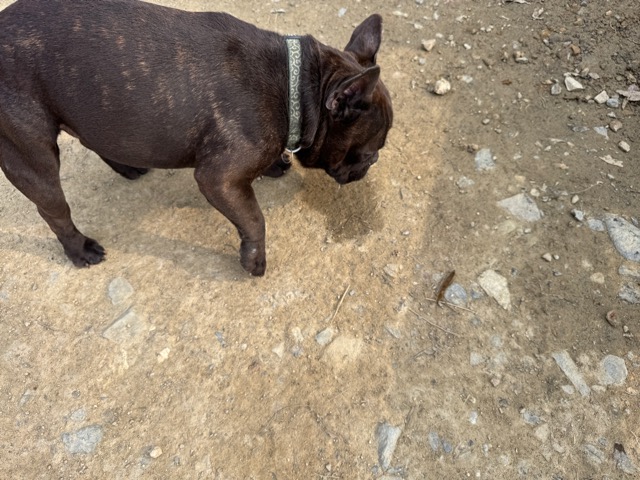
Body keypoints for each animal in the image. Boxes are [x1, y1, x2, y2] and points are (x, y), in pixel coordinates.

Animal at [0, 0, 392, 276]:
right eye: (369, 152)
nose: (371, 165)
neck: (296, 86)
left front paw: (274, 165)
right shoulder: (218, 179)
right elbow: (254, 219)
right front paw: (254, 259)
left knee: (92, 138)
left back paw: (127, 167)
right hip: (31, 154)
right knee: (54, 209)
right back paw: (80, 249)